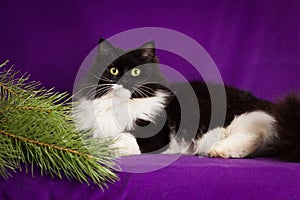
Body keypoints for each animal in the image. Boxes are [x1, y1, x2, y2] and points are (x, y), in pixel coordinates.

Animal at [73, 38, 300, 162]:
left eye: (136, 72)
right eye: (113, 71)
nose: (124, 81)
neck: (120, 106)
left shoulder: (155, 138)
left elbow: (124, 137)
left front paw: (107, 146)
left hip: (236, 121)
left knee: (255, 136)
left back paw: (220, 151)